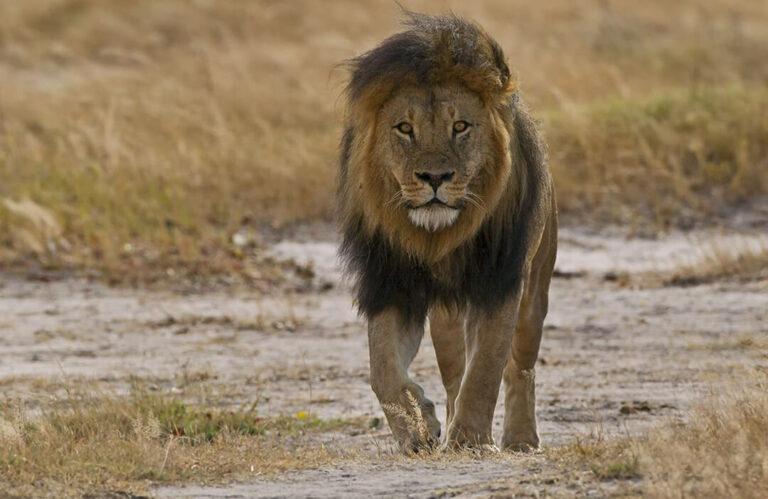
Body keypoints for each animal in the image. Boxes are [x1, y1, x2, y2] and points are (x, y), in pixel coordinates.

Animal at [338, 13, 557, 453]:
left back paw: (521, 438)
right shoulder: (390, 283)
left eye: (460, 126)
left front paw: (471, 439)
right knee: (455, 373)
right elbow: (383, 371)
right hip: (446, 318)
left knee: (520, 368)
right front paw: (418, 429)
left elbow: (487, 368)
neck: (436, 240)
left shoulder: (500, 283)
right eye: (404, 128)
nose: (435, 177)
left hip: (534, 294)